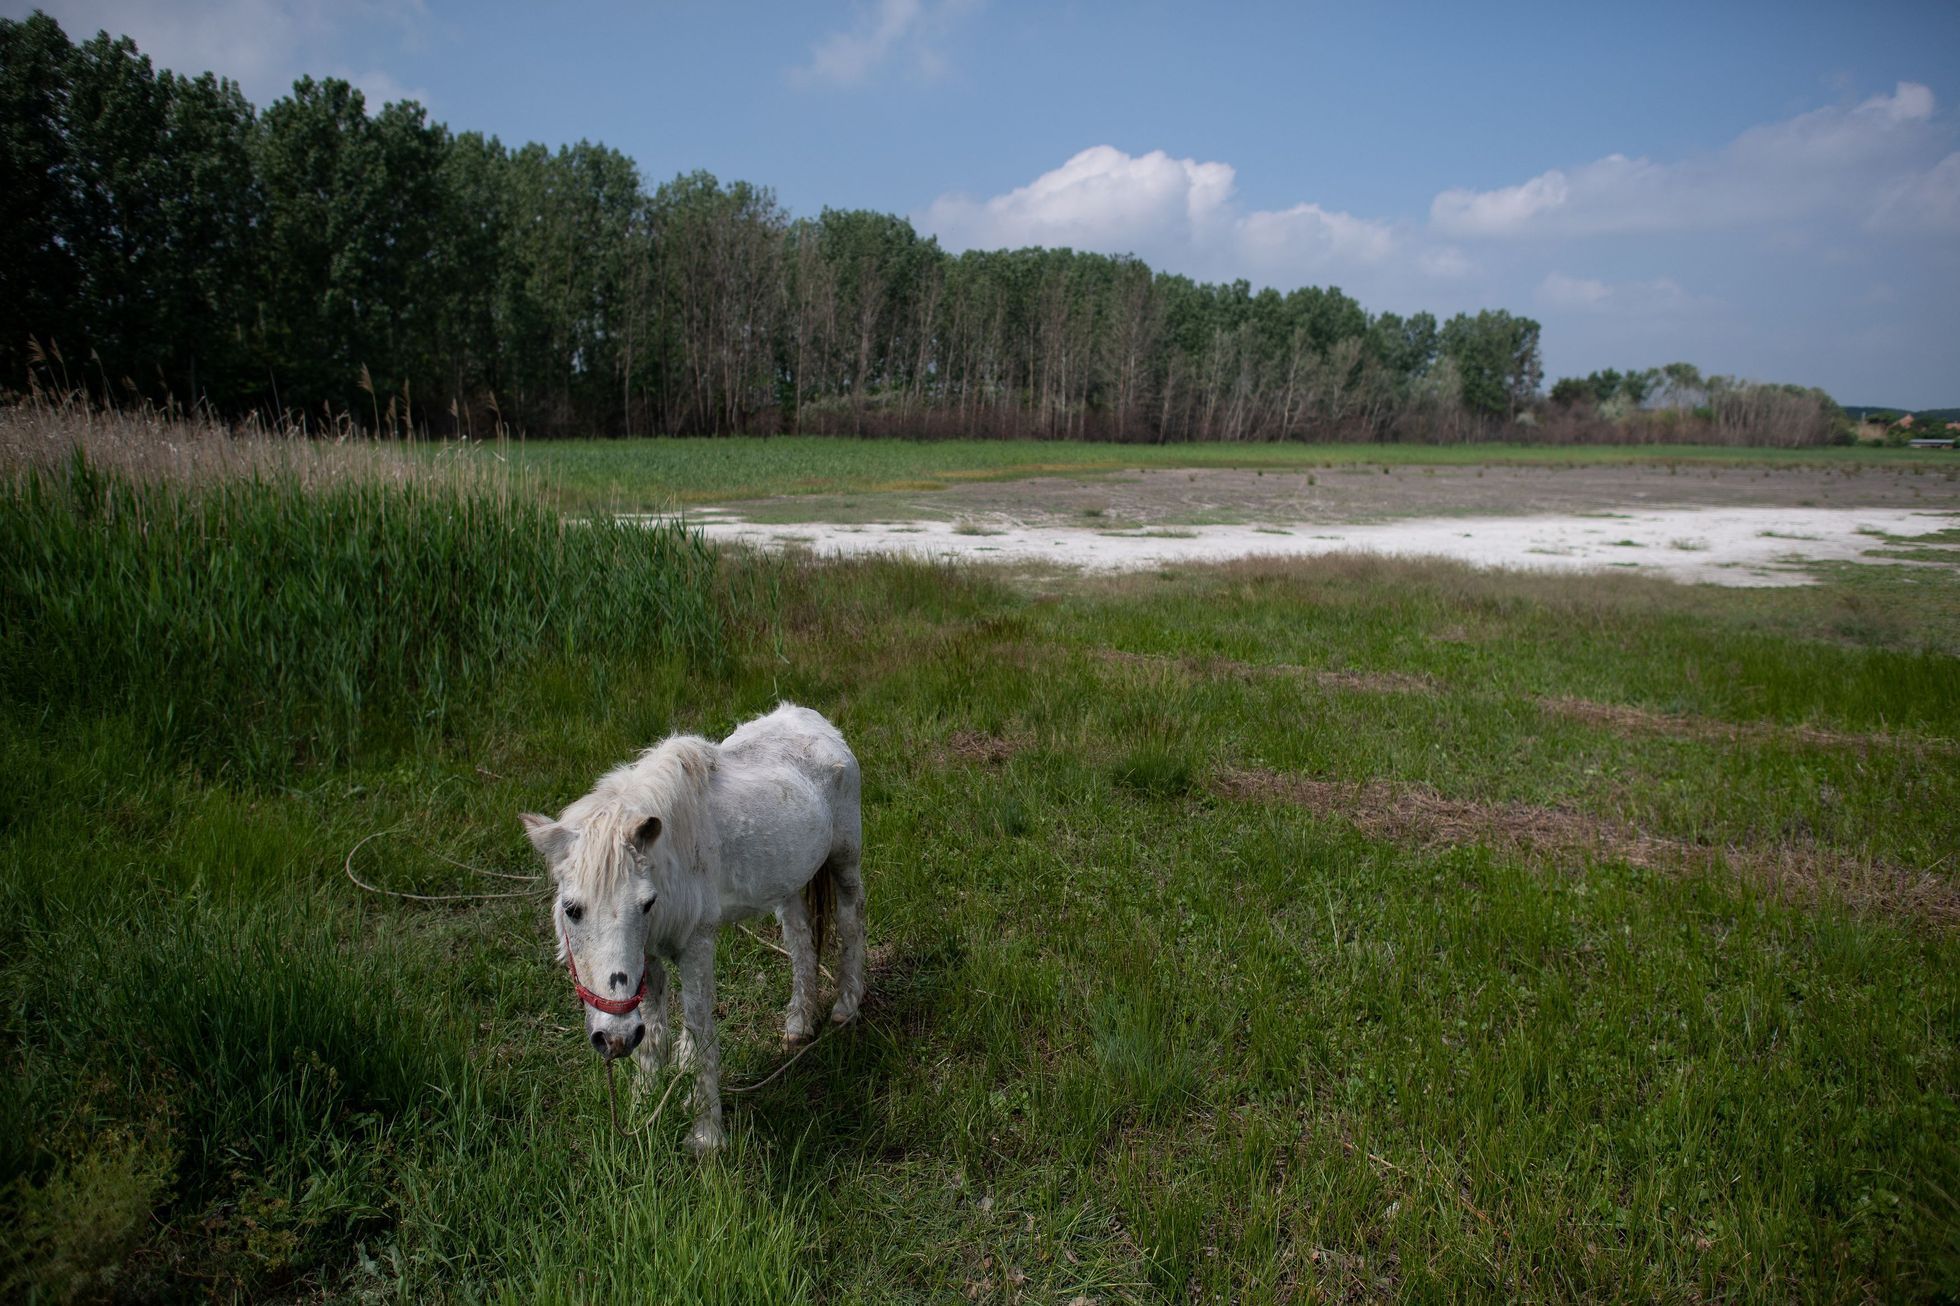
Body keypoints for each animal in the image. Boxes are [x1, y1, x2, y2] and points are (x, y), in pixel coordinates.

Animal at [521, 702, 866, 1153]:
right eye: (572, 909)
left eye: (644, 904)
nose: (614, 1039)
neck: (670, 862)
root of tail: (810, 718)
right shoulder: (647, 957)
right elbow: (653, 1036)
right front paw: (642, 1113)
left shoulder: (696, 945)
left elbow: (702, 1033)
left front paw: (706, 1136)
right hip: (788, 882)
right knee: (799, 940)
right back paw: (798, 1023)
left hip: (845, 860)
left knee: (850, 921)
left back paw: (847, 1005)